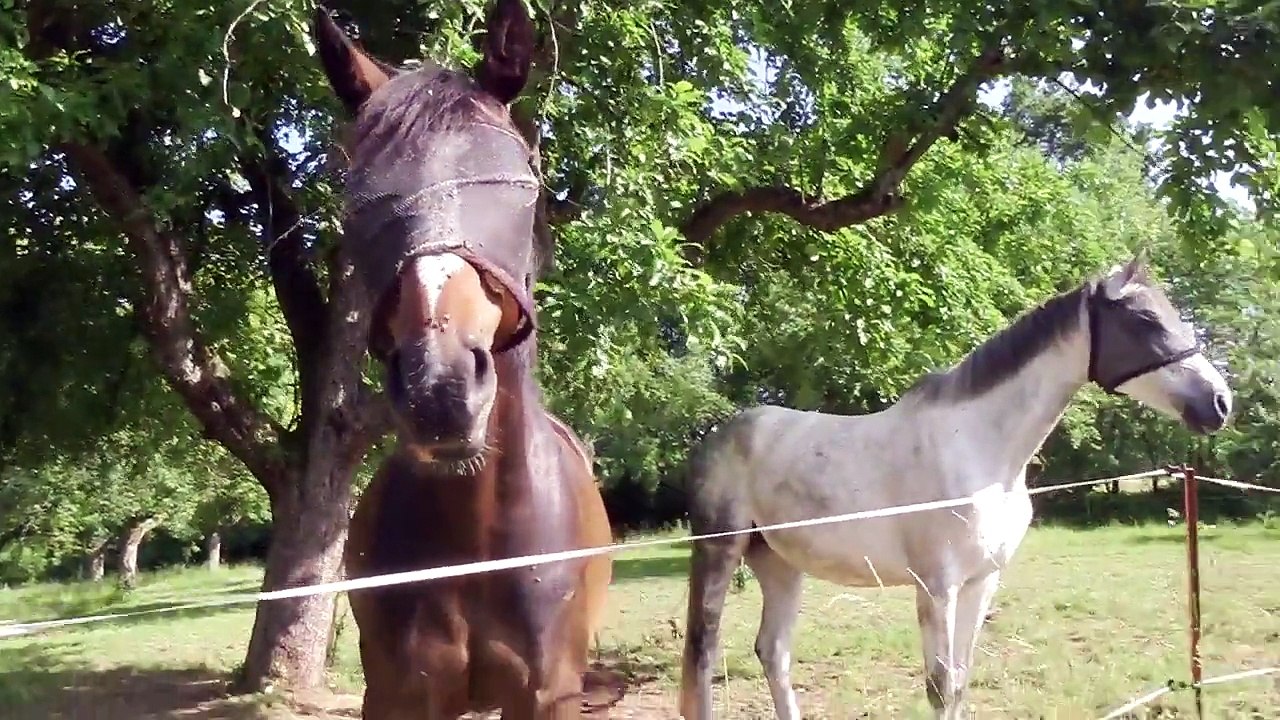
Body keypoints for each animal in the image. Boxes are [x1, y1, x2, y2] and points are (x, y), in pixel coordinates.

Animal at [677, 255, 1232, 720]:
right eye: (1145, 320)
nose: (1220, 402)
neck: (983, 454)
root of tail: (719, 434)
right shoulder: (936, 586)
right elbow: (940, 687)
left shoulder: (981, 580)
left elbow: (961, 682)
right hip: (720, 552)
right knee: (704, 656)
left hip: (780, 564)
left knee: (773, 652)